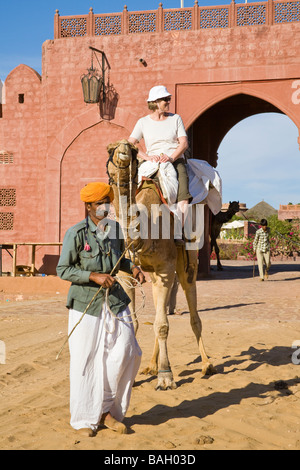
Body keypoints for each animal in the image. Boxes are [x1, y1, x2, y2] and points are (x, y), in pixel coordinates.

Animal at [105, 139, 216, 390]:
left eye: (133, 151)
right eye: (110, 148)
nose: (123, 149)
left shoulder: (166, 267)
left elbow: (163, 325)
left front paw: (166, 377)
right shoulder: (127, 273)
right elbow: (136, 321)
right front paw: (128, 376)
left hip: (188, 263)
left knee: (193, 313)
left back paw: (206, 364)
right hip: (156, 276)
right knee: (159, 311)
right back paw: (151, 366)